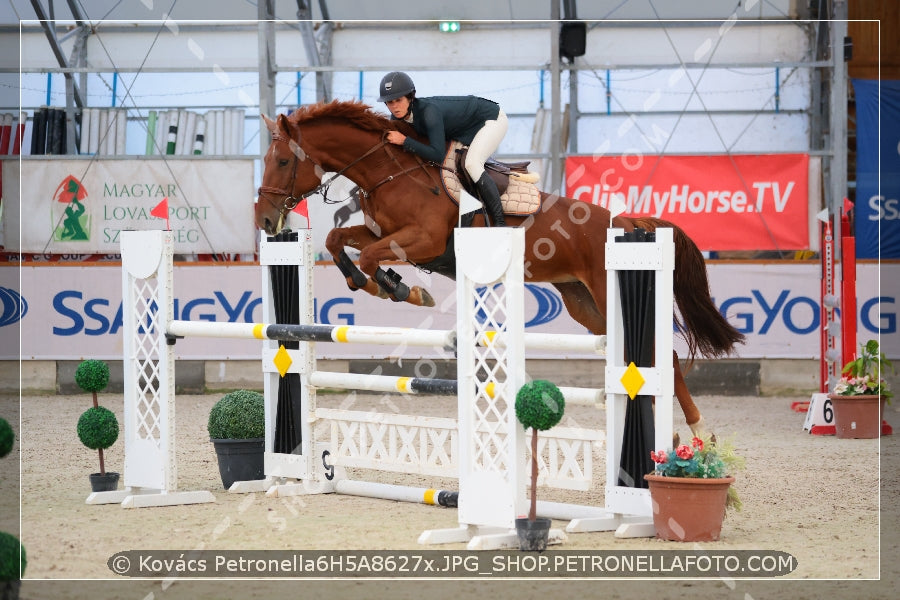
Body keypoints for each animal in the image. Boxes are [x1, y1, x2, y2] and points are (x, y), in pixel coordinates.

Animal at [255, 101, 744, 434]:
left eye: (283, 160)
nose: (263, 220)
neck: (387, 171)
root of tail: (623, 222)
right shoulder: (384, 234)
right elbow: (339, 241)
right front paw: (383, 284)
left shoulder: (423, 242)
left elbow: (371, 258)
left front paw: (399, 289)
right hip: (584, 304)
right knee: (654, 357)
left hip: (608, 294)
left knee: (668, 357)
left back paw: (698, 434)